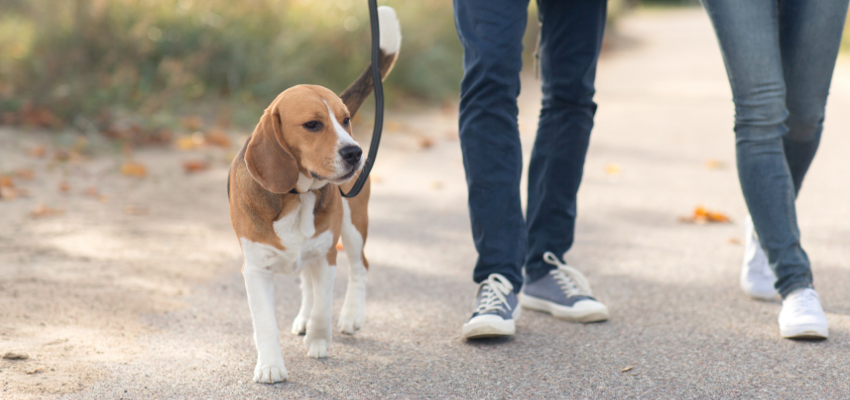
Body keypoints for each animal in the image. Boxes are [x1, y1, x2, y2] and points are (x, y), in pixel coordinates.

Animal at [224, 7, 400, 384]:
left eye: (345, 120)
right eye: (313, 125)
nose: (355, 153)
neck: (297, 196)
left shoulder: (325, 255)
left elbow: (323, 305)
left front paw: (320, 342)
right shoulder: (256, 269)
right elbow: (265, 324)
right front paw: (271, 365)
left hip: (353, 228)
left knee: (360, 268)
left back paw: (350, 316)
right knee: (306, 283)